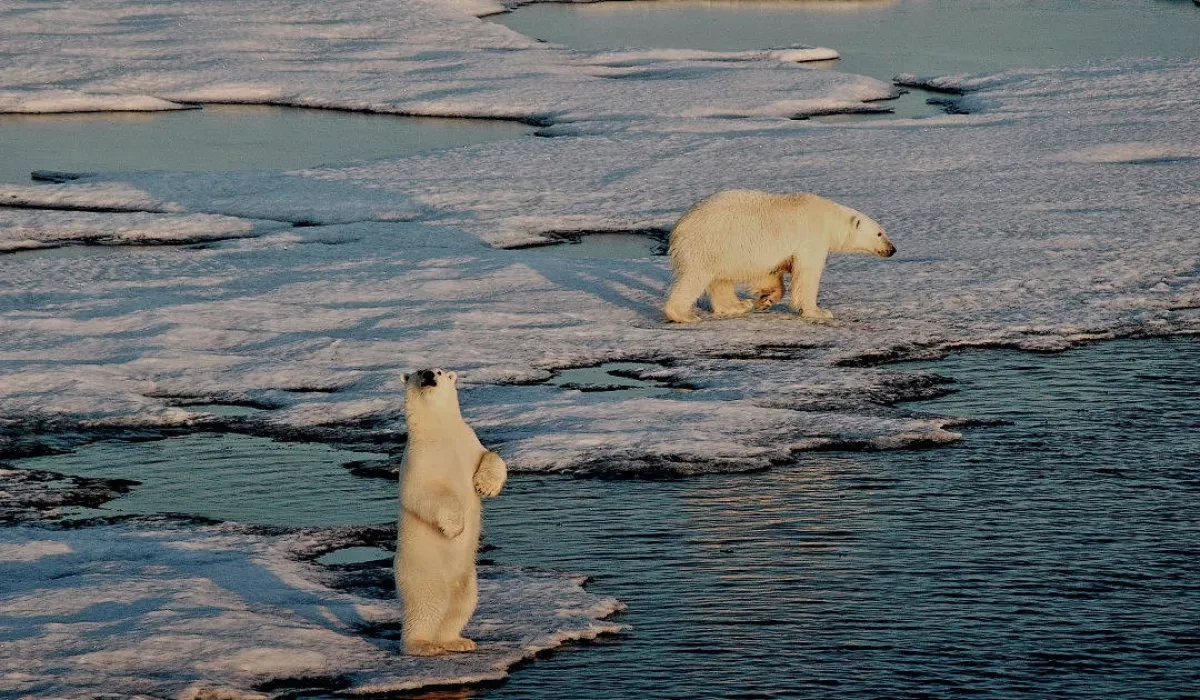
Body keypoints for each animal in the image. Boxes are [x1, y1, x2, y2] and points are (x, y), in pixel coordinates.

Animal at [395, 368, 507, 657]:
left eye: (439, 371)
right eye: (417, 373)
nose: (428, 375)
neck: (441, 434)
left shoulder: (468, 444)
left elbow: (490, 456)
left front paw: (485, 485)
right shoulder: (417, 459)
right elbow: (421, 492)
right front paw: (455, 528)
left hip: (467, 578)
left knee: (461, 604)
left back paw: (457, 641)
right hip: (423, 570)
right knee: (427, 605)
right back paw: (423, 645)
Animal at [662, 189, 896, 323]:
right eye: (879, 233)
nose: (892, 249)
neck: (829, 218)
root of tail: (678, 228)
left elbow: (770, 273)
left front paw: (765, 299)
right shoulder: (811, 236)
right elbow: (807, 273)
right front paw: (818, 312)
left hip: (722, 251)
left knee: (721, 280)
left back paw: (738, 306)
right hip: (706, 245)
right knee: (695, 279)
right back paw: (685, 315)